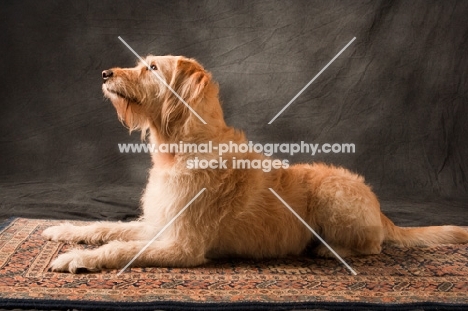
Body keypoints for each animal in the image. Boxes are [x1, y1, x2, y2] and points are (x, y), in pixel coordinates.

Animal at [43, 55, 468, 272]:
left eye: (152, 68)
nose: (104, 73)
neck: (179, 148)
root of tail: (380, 210)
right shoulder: (157, 224)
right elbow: (109, 227)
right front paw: (64, 230)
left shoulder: (183, 246)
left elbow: (120, 248)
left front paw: (76, 257)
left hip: (334, 192)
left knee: (373, 247)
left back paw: (329, 250)